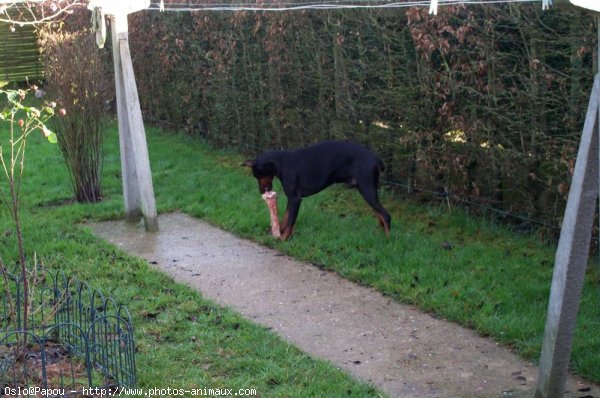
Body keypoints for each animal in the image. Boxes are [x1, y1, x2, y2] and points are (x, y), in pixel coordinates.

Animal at [244, 140, 390, 239]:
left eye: (257, 175)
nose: (262, 191)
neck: (280, 163)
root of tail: (375, 158)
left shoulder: (295, 199)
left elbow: (290, 221)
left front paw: (284, 238)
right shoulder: (291, 199)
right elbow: (285, 218)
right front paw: (279, 231)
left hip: (367, 189)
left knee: (386, 216)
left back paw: (387, 240)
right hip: (364, 190)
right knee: (380, 215)